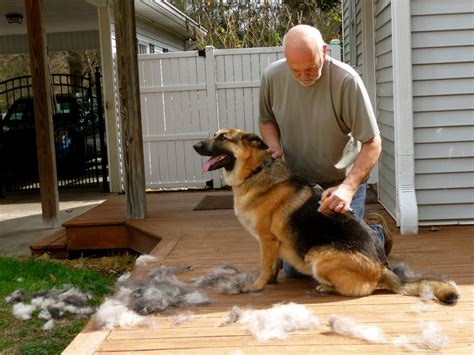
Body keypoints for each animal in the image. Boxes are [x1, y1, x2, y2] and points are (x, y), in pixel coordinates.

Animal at [193, 129, 460, 304]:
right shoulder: (273, 244)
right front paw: (272, 280)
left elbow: (264, 266)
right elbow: (273, 266)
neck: (256, 171)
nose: (195, 146)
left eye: (223, 138)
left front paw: (257, 285)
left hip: (318, 257)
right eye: (215, 135)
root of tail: (383, 268)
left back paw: (324, 287)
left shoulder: (266, 241)